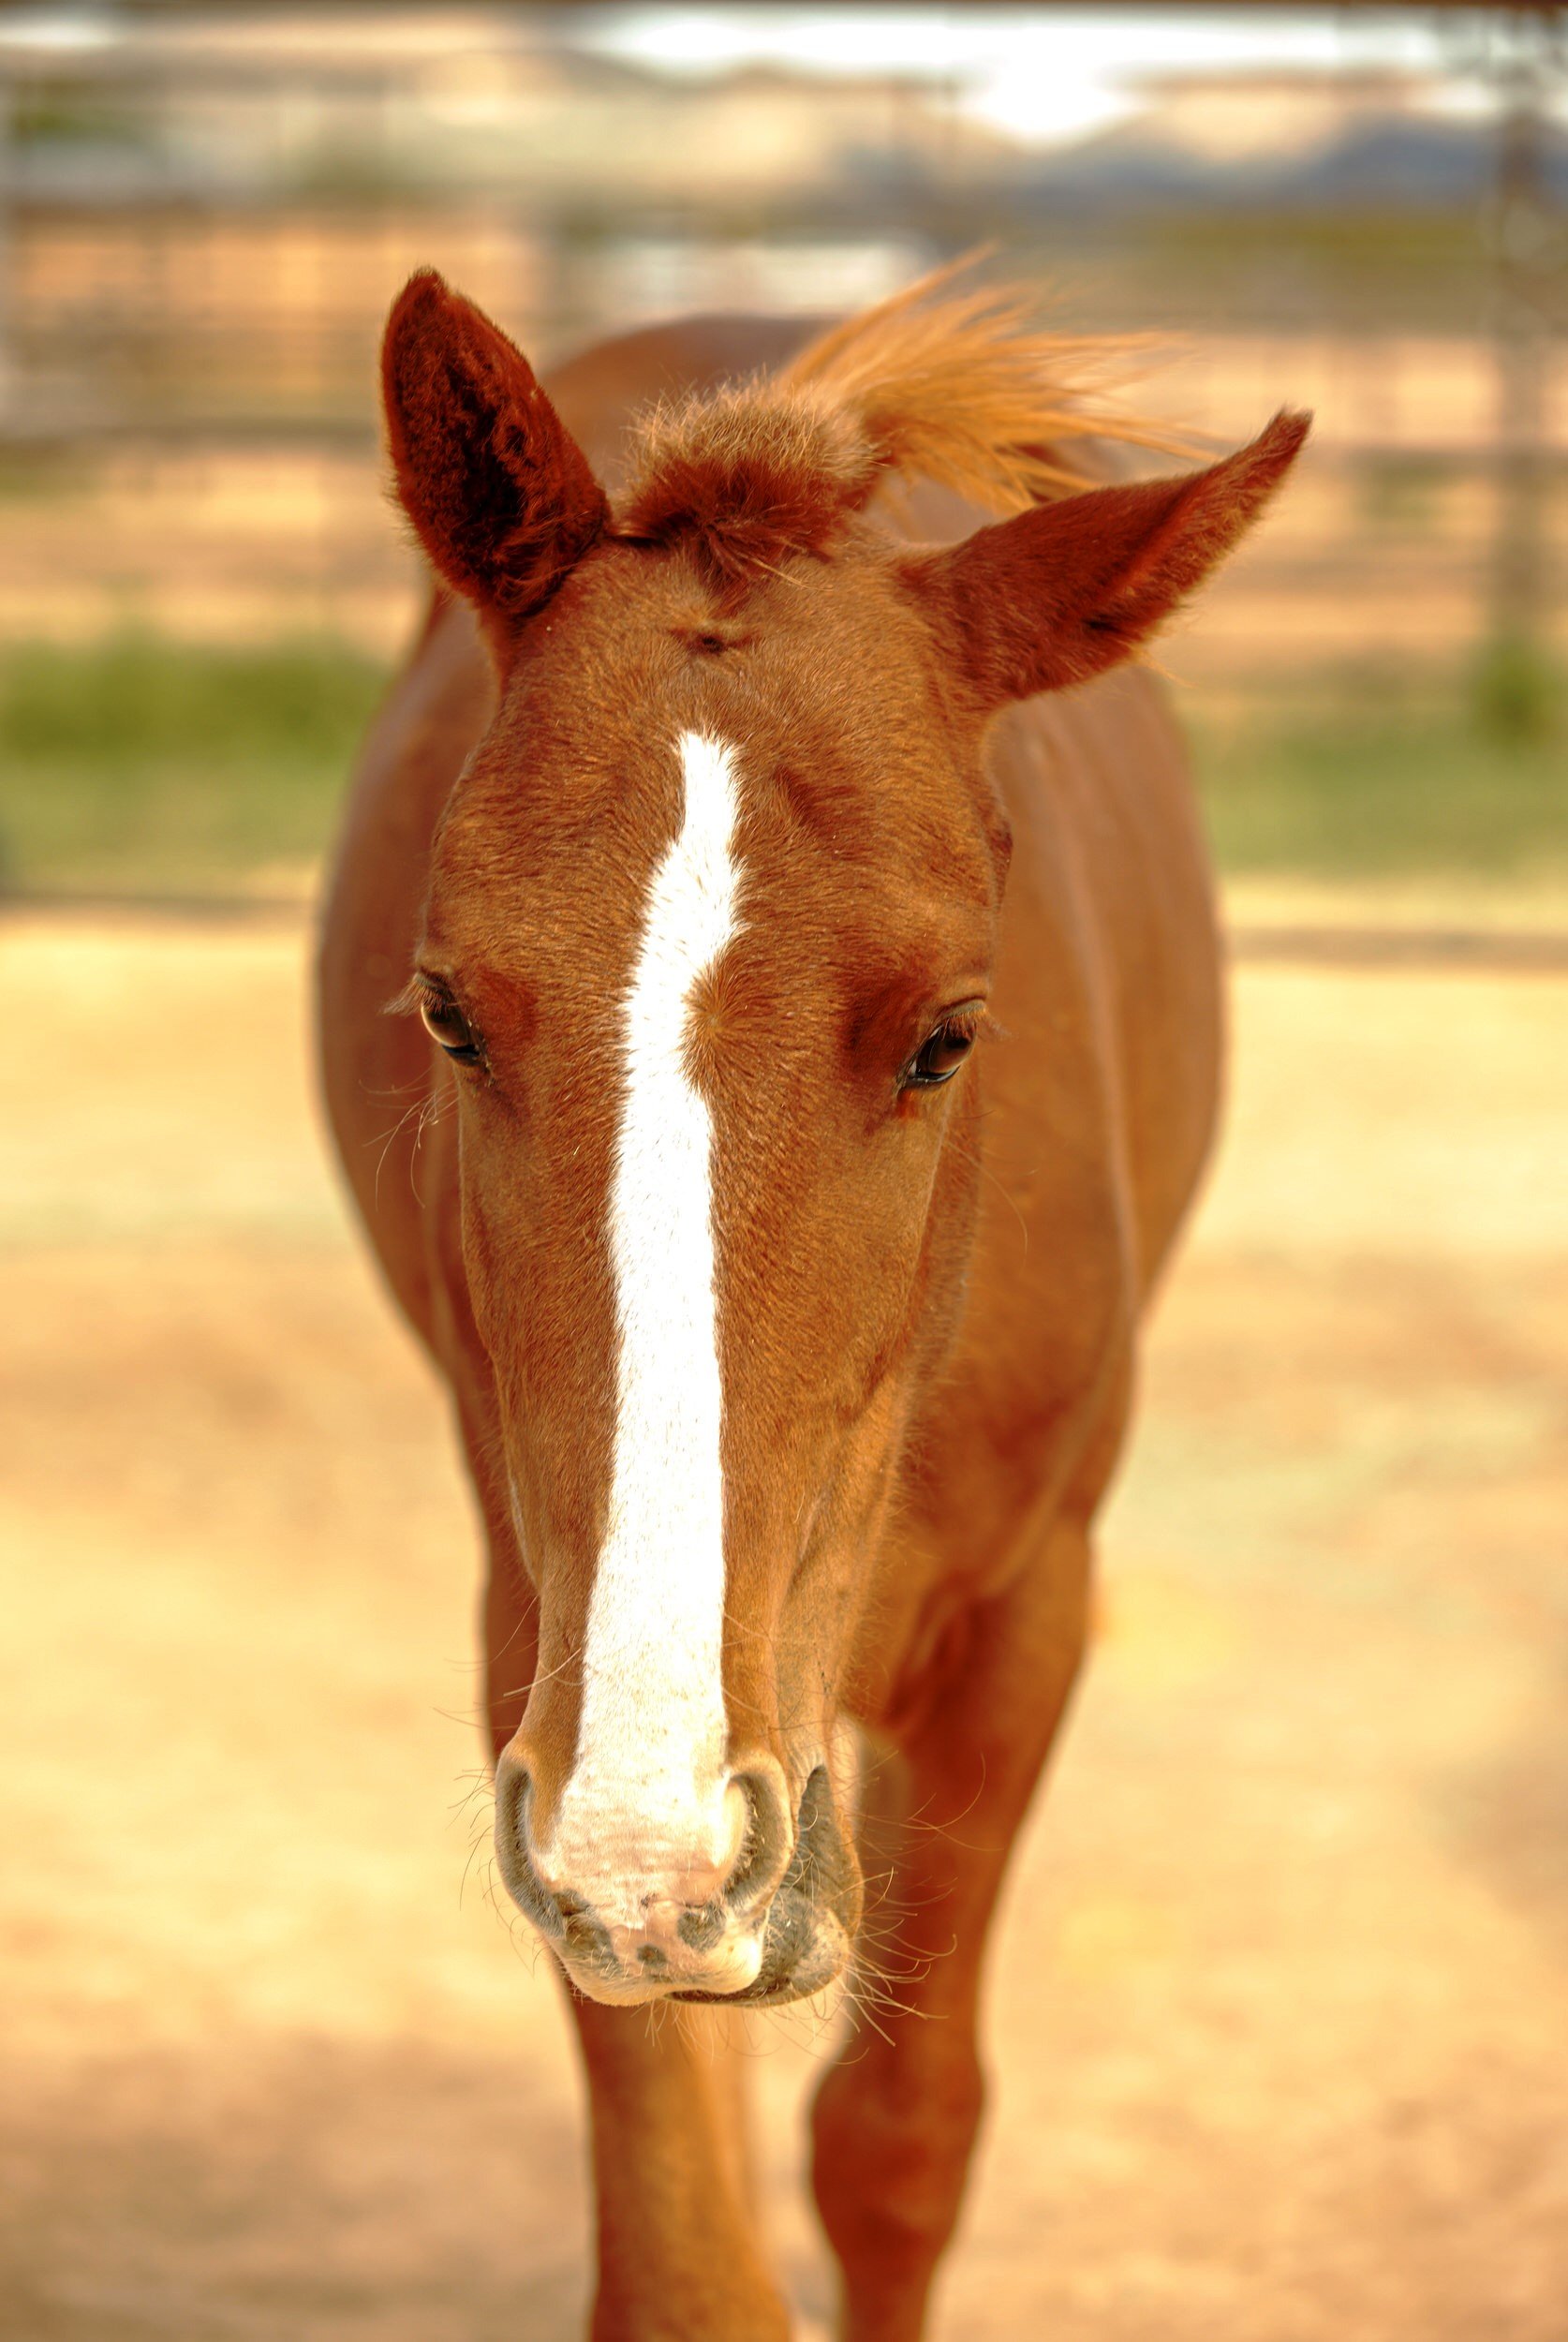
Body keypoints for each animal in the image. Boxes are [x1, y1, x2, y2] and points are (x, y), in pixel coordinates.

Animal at [316, 265, 1301, 2342]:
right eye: (445, 1008)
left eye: (948, 1034)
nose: (663, 1834)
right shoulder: (552, 1673)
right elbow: (689, 2254)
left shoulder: (1022, 1623)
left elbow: (896, 2145)